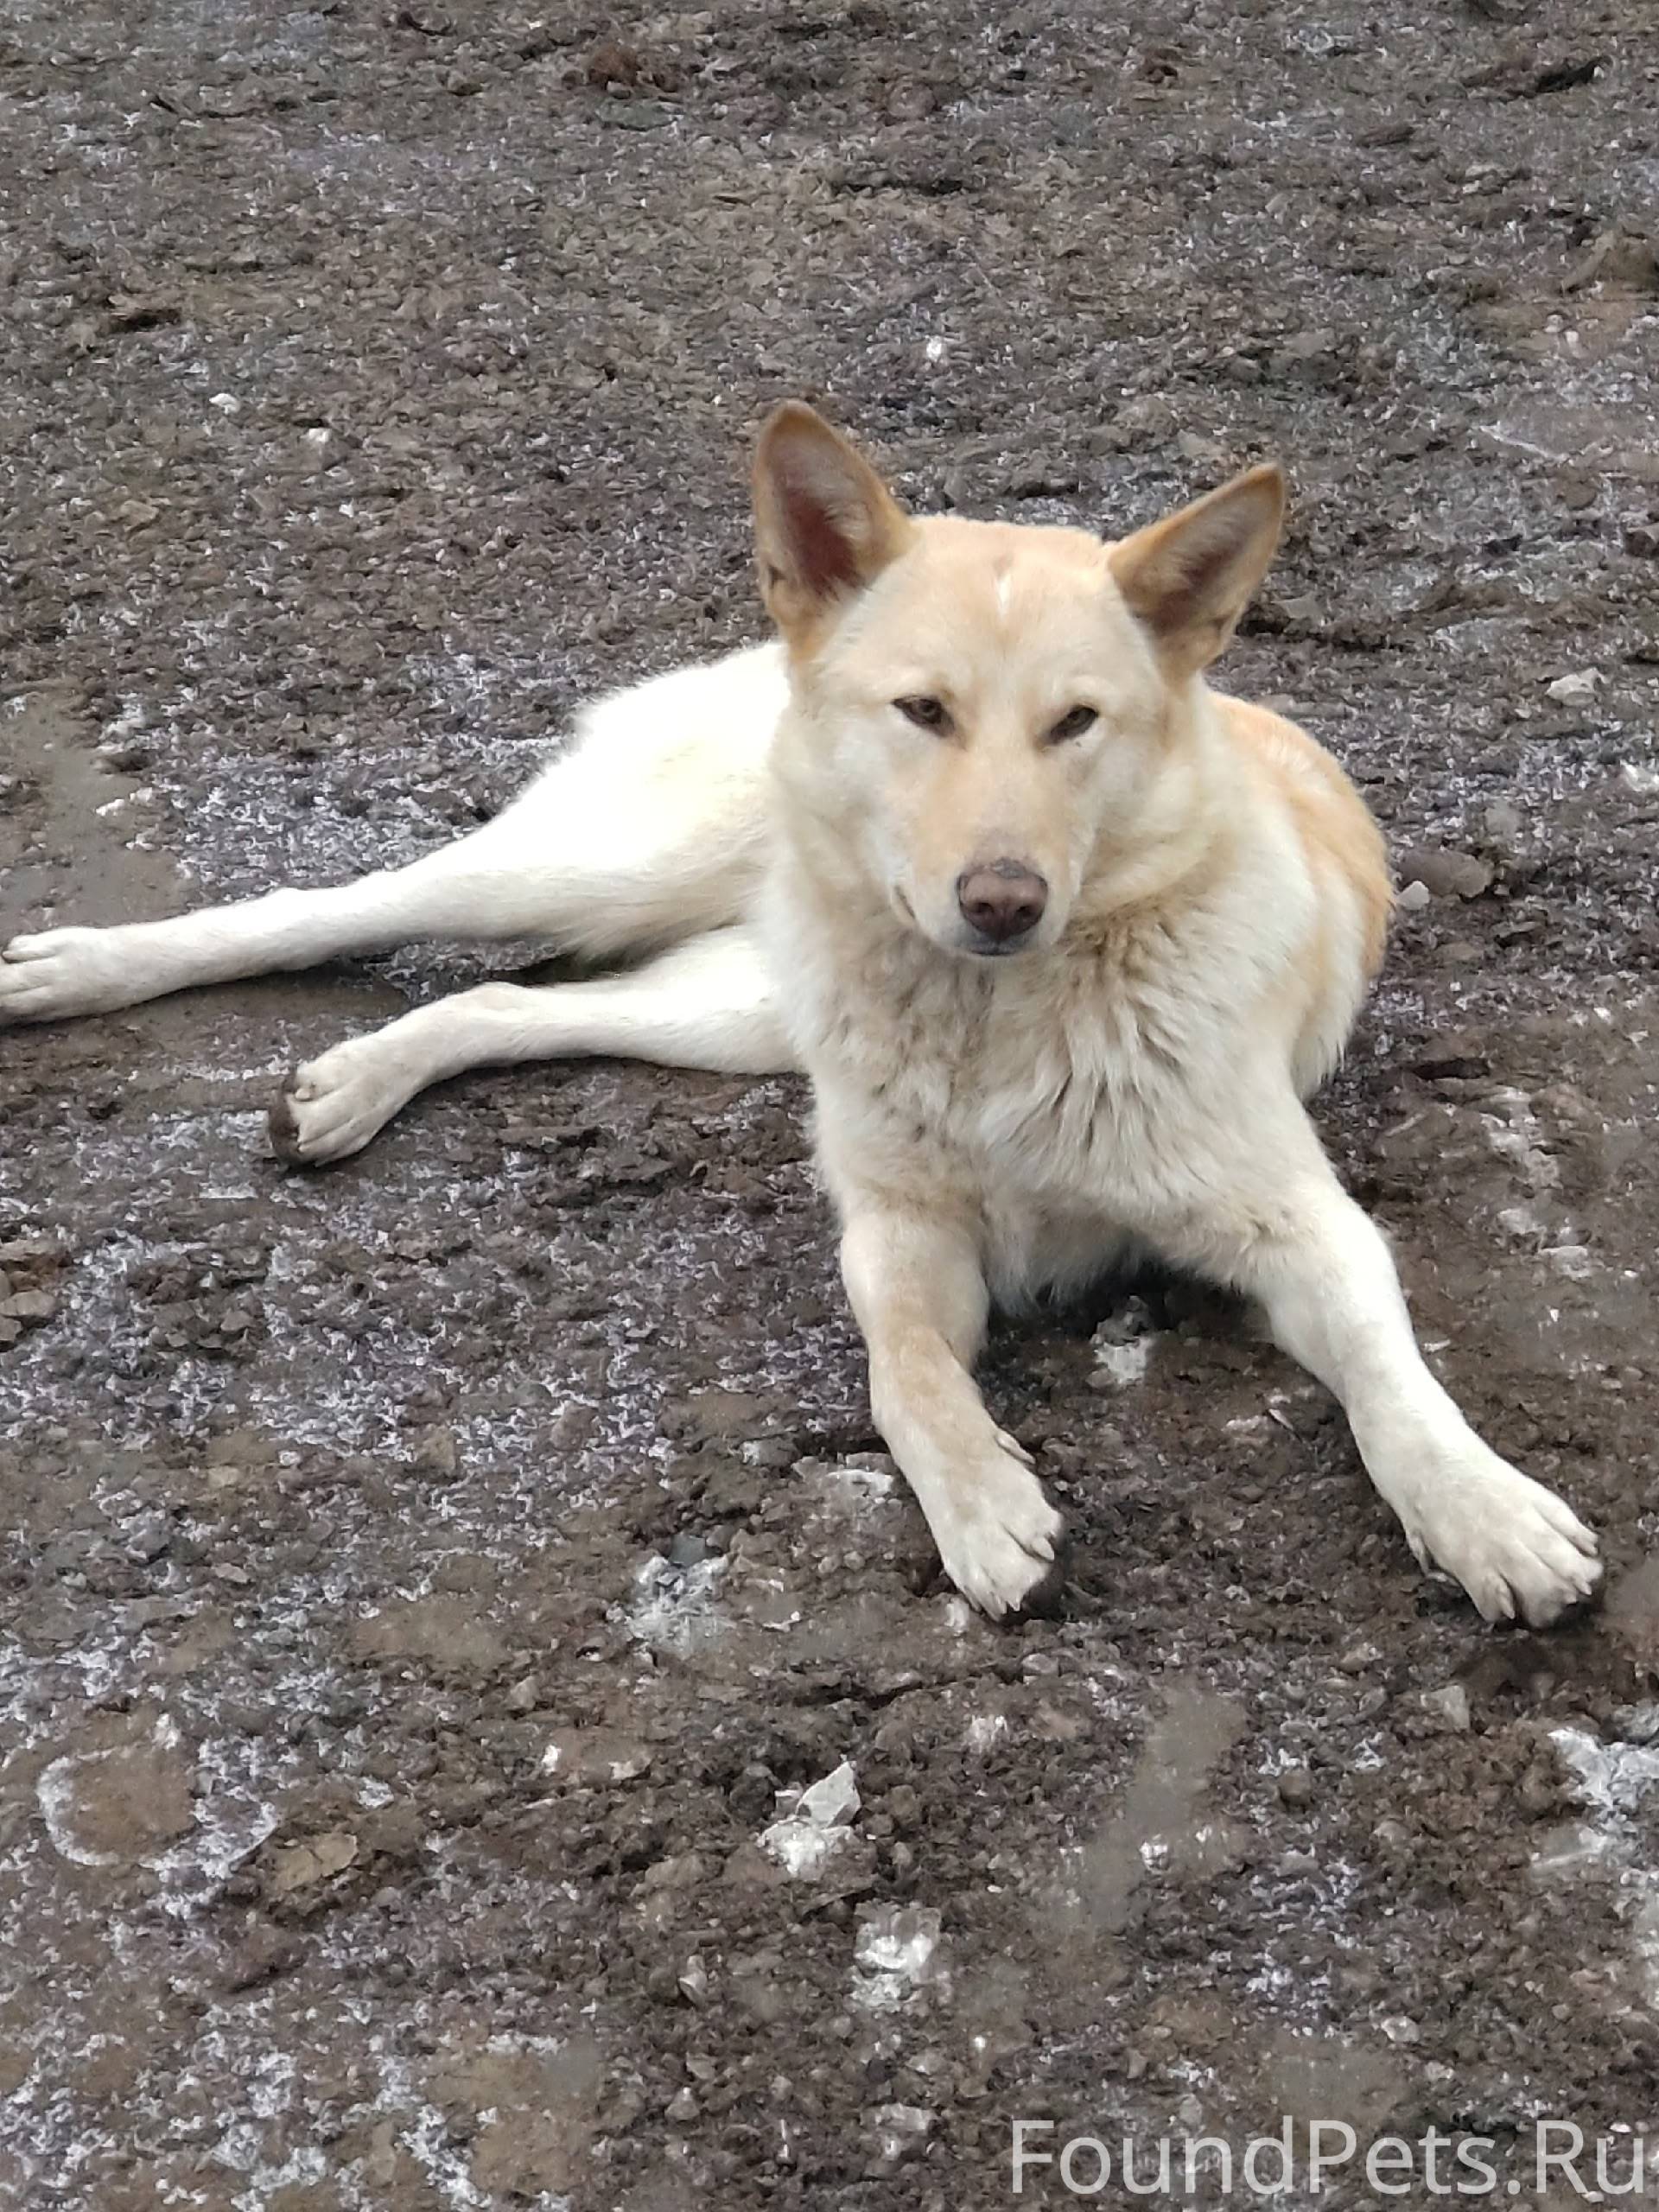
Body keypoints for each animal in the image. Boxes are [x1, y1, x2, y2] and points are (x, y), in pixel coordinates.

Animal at [0, 403, 1602, 1627]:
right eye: (925, 712)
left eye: (1077, 724)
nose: (1001, 899)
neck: (993, 1022)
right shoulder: (899, 1232)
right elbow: (903, 1379)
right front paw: (983, 1505)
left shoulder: (1301, 1227)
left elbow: (1395, 1382)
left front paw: (1482, 1510)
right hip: (598, 869)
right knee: (341, 904)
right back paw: (81, 969)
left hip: (736, 1009)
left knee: (513, 999)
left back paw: (353, 1083)